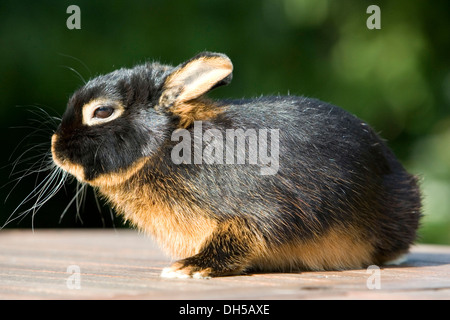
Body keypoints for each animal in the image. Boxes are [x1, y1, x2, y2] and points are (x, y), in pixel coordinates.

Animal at [51, 52, 422, 278]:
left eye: (102, 111)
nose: (56, 148)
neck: (170, 144)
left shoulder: (255, 213)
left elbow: (242, 237)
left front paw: (189, 268)